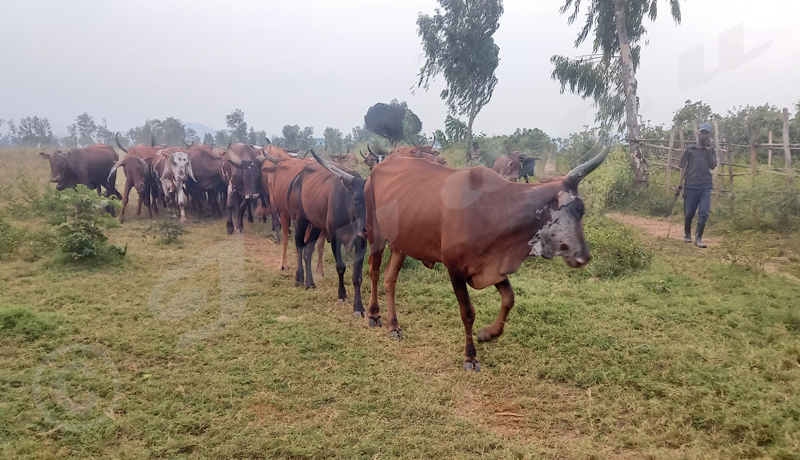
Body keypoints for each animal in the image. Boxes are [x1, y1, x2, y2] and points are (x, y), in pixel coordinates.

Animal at [286, 151, 368, 316]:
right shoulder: (335, 238)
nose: (367, 228)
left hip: (316, 225)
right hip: (301, 219)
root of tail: (299, 175)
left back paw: (310, 283)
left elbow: (357, 275)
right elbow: (341, 267)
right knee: (299, 245)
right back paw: (299, 278)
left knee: (308, 251)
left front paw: (358, 307)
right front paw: (342, 296)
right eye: (356, 199)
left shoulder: (362, 243)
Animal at [366, 149, 608, 372]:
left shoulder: (494, 265)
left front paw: (487, 334)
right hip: (375, 232)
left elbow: (509, 299)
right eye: (579, 209)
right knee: (374, 271)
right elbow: (468, 312)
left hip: (401, 244)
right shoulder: (455, 268)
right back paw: (373, 314)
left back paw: (394, 326)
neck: (493, 209)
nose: (584, 256)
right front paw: (470, 356)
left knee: (390, 279)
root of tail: (379, 166)